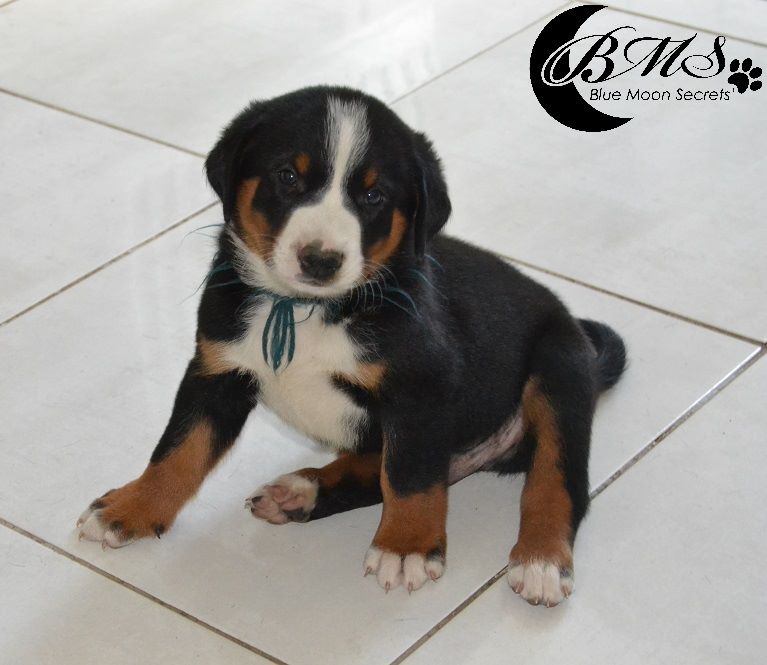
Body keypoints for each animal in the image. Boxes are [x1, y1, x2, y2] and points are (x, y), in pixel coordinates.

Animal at [77, 86, 626, 606]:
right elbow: (179, 448)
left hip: (557, 369)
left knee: (555, 482)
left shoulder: (420, 386)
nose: (320, 259)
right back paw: (301, 492)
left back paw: (540, 561)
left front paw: (405, 547)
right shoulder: (217, 369)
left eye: (374, 196)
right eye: (288, 177)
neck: (305, 309)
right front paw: (129, 508)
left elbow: (409, 475)